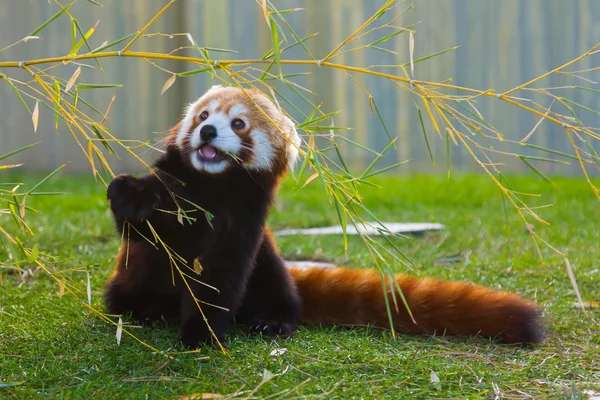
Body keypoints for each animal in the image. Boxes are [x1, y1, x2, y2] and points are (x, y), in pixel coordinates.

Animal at [103, 86, 544, 348]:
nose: (208, 132)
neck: (212, 188)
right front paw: (128, 194)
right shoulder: (175, 188)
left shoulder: (243, 224)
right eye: (203, 115)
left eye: (238, 123)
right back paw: (149, 310)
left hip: (268, 262)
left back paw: (273, 320)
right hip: (129, 280)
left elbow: (221, 280)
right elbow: (142, 225)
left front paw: (201, 334)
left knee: (280, 293)